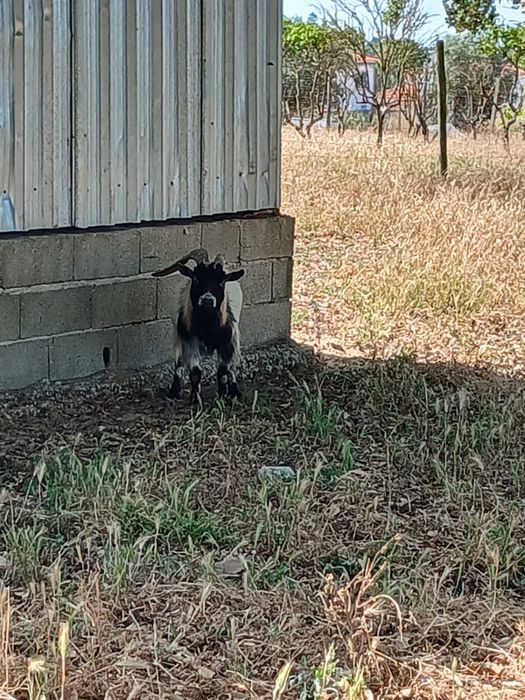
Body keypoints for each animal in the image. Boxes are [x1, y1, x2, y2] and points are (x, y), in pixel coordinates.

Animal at [152, 248, 245, 405]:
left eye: (221, 281)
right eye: (196, 278)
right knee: (179, 362)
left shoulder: (226, 342)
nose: (207, 300)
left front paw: (221, 397)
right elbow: (195, 372)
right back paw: (174, 392)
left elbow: (222, 372)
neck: (207, 327)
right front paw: (195, 400)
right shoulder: (189, 340)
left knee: (231, 367)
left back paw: (235, 392)